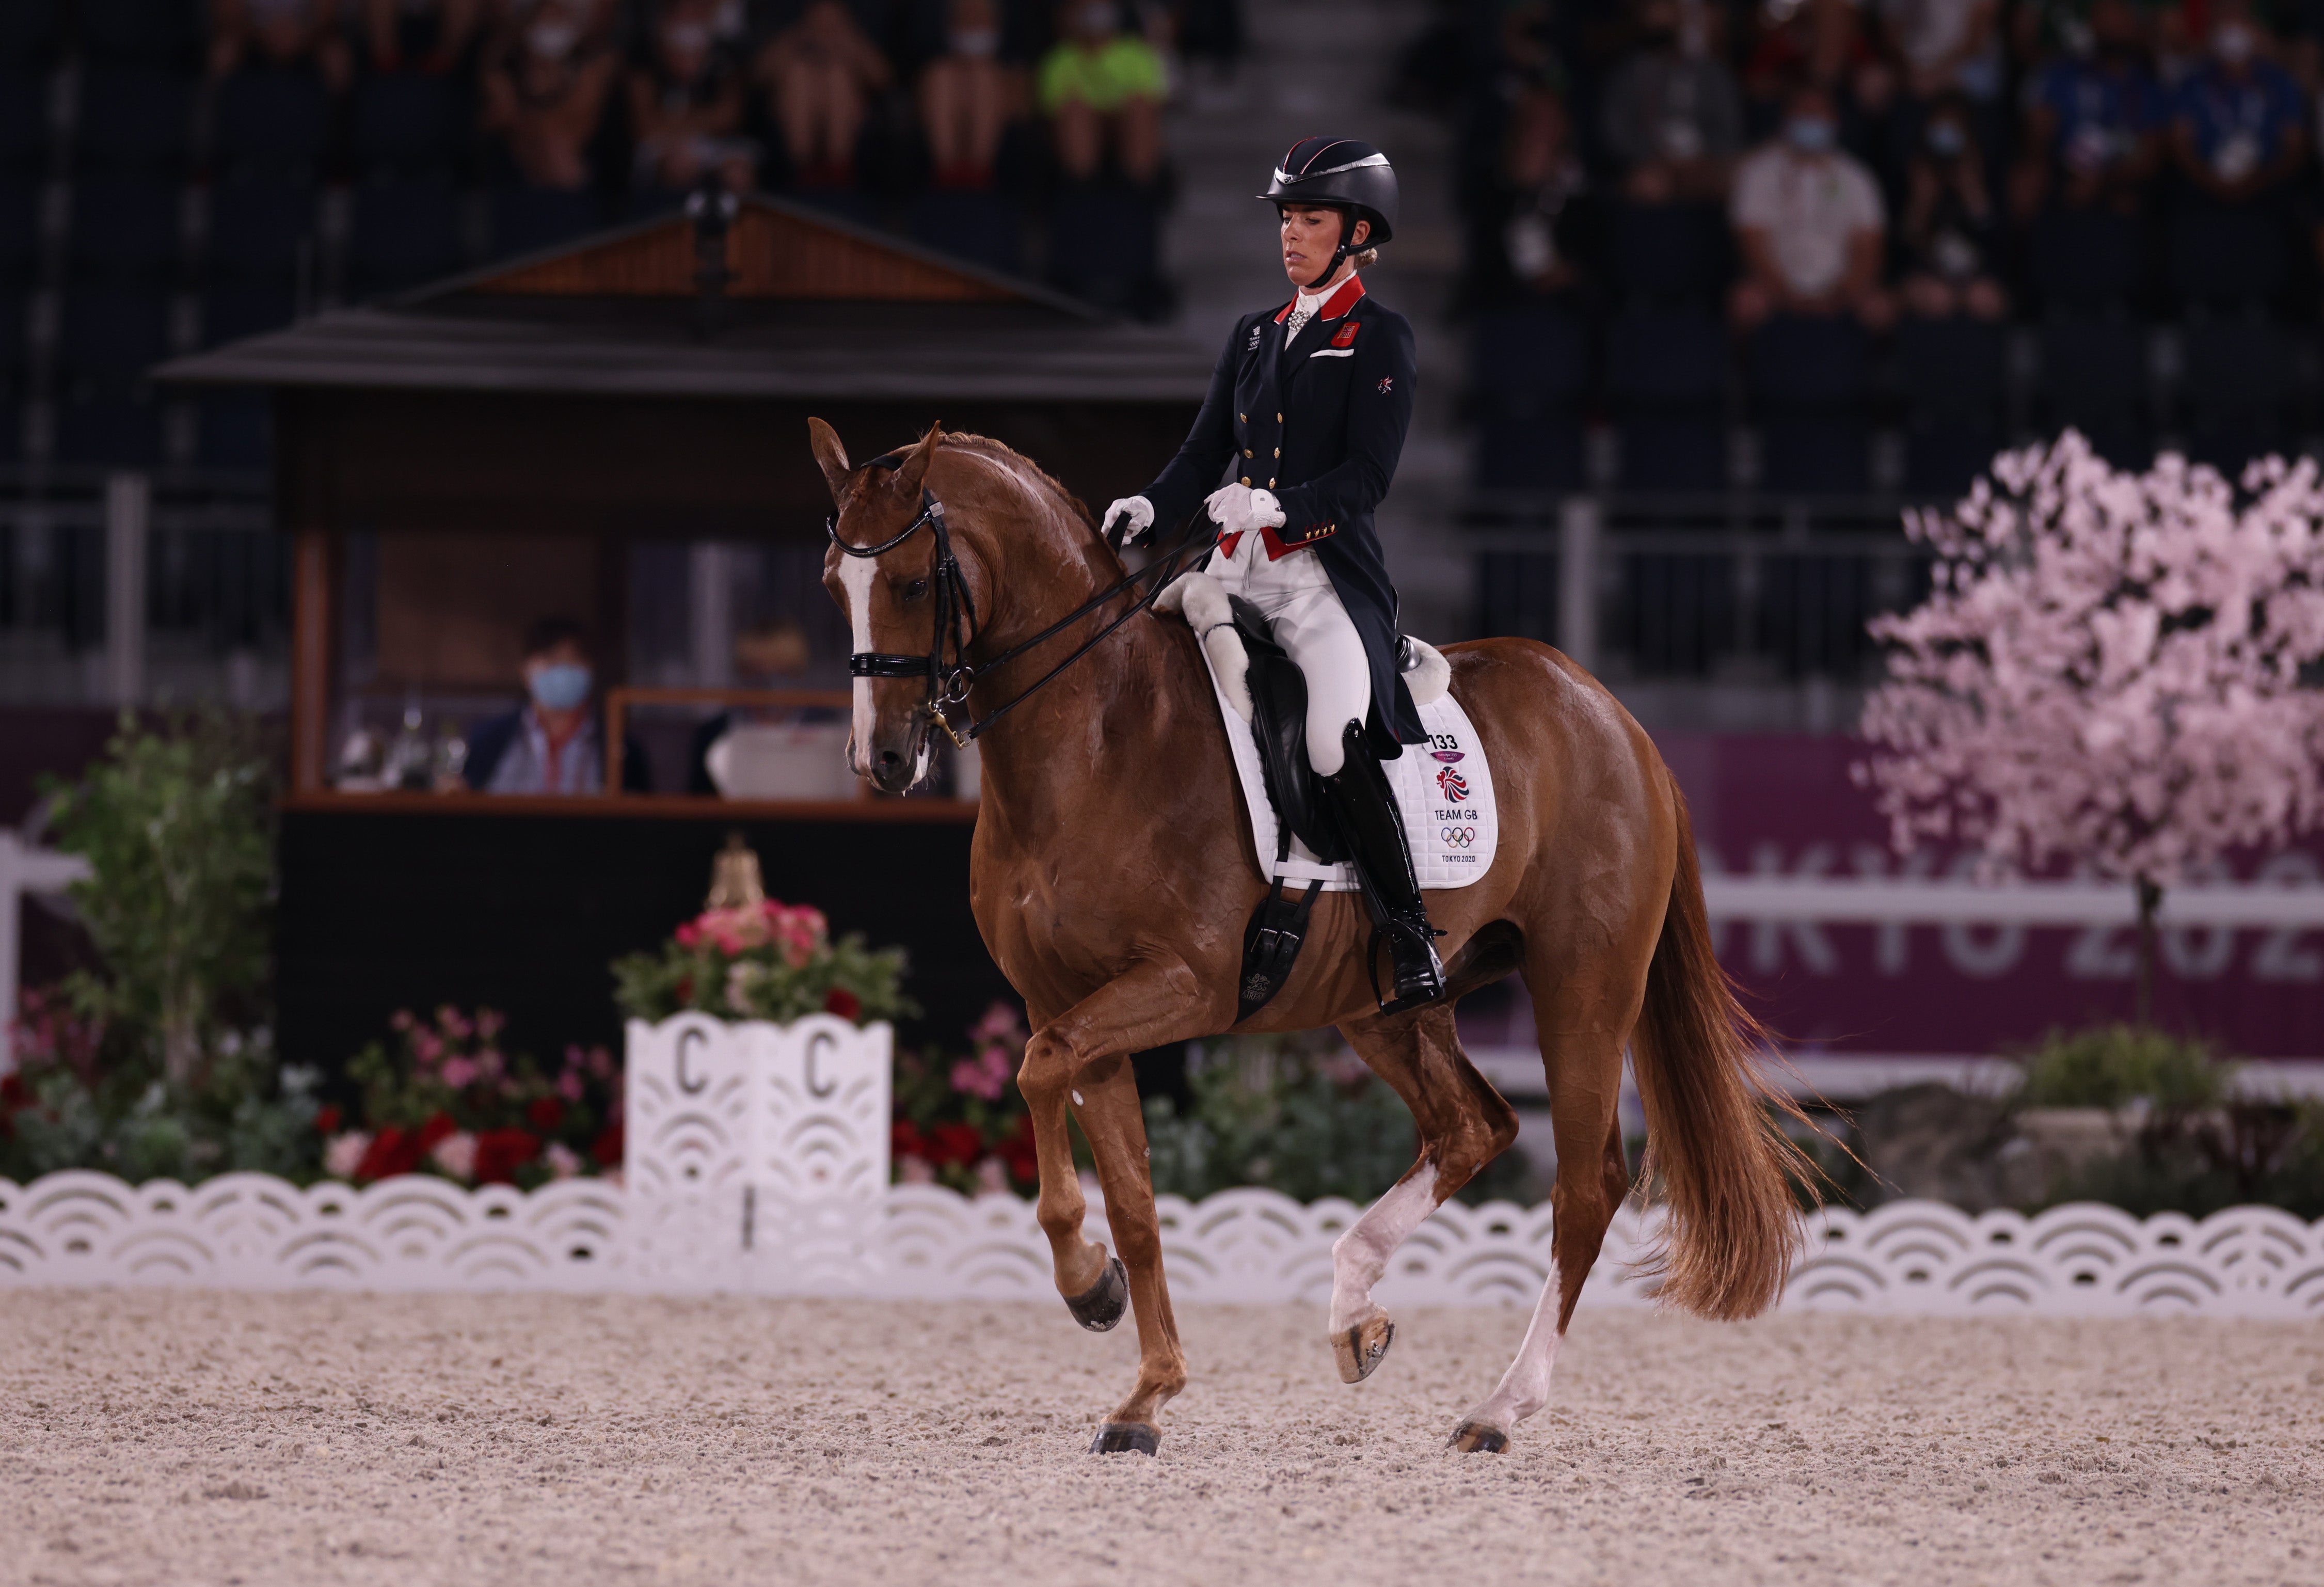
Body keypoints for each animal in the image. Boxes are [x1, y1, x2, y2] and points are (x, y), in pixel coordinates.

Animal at [818, 418, 1812, 1450]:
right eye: (832, 584)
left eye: (912, 584)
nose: (881, 759)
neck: (1097, 736)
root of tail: (1614, 716)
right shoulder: (1070, 1000)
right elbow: (1128, 1190)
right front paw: (1144, 1388)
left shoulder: (1181, 984)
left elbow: (1038, 1071)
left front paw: (1088, 1287)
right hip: (1388, 1002)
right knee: (1473, 1126)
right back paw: (1354, 1309)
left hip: (1583, 987)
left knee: (1585, 1186)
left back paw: (1498, 1405)